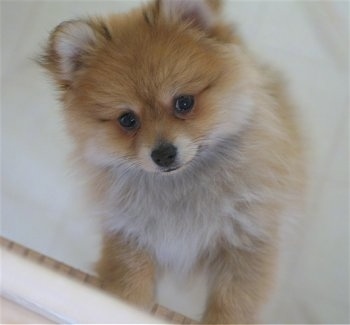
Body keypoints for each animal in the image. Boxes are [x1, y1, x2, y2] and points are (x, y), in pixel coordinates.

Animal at [40, 0, 304, 322]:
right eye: (127, 120)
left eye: (184, 102)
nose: (163, 154)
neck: (180, 187)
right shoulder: (129, 237)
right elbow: (128, 288)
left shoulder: (246, 240)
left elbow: (232, 304)